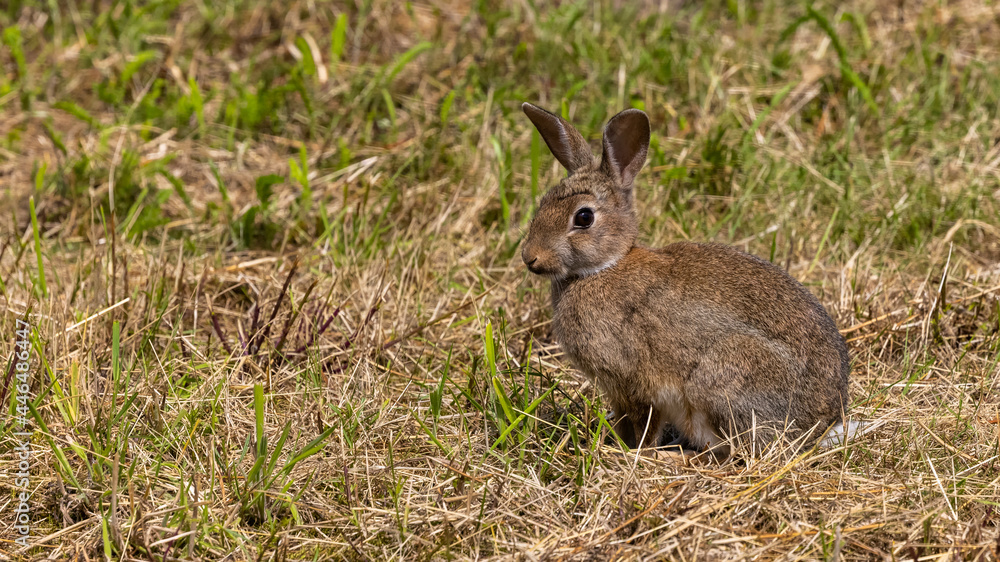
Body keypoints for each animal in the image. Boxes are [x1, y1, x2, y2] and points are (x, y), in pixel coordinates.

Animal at [520, 102, 851, 457]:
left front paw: (634, 452)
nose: (530, 257)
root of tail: (824, 422)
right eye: (543, 203)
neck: (604, 267)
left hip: (722, 377)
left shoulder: (636, 382)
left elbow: (644, 422)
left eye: (583, 217)